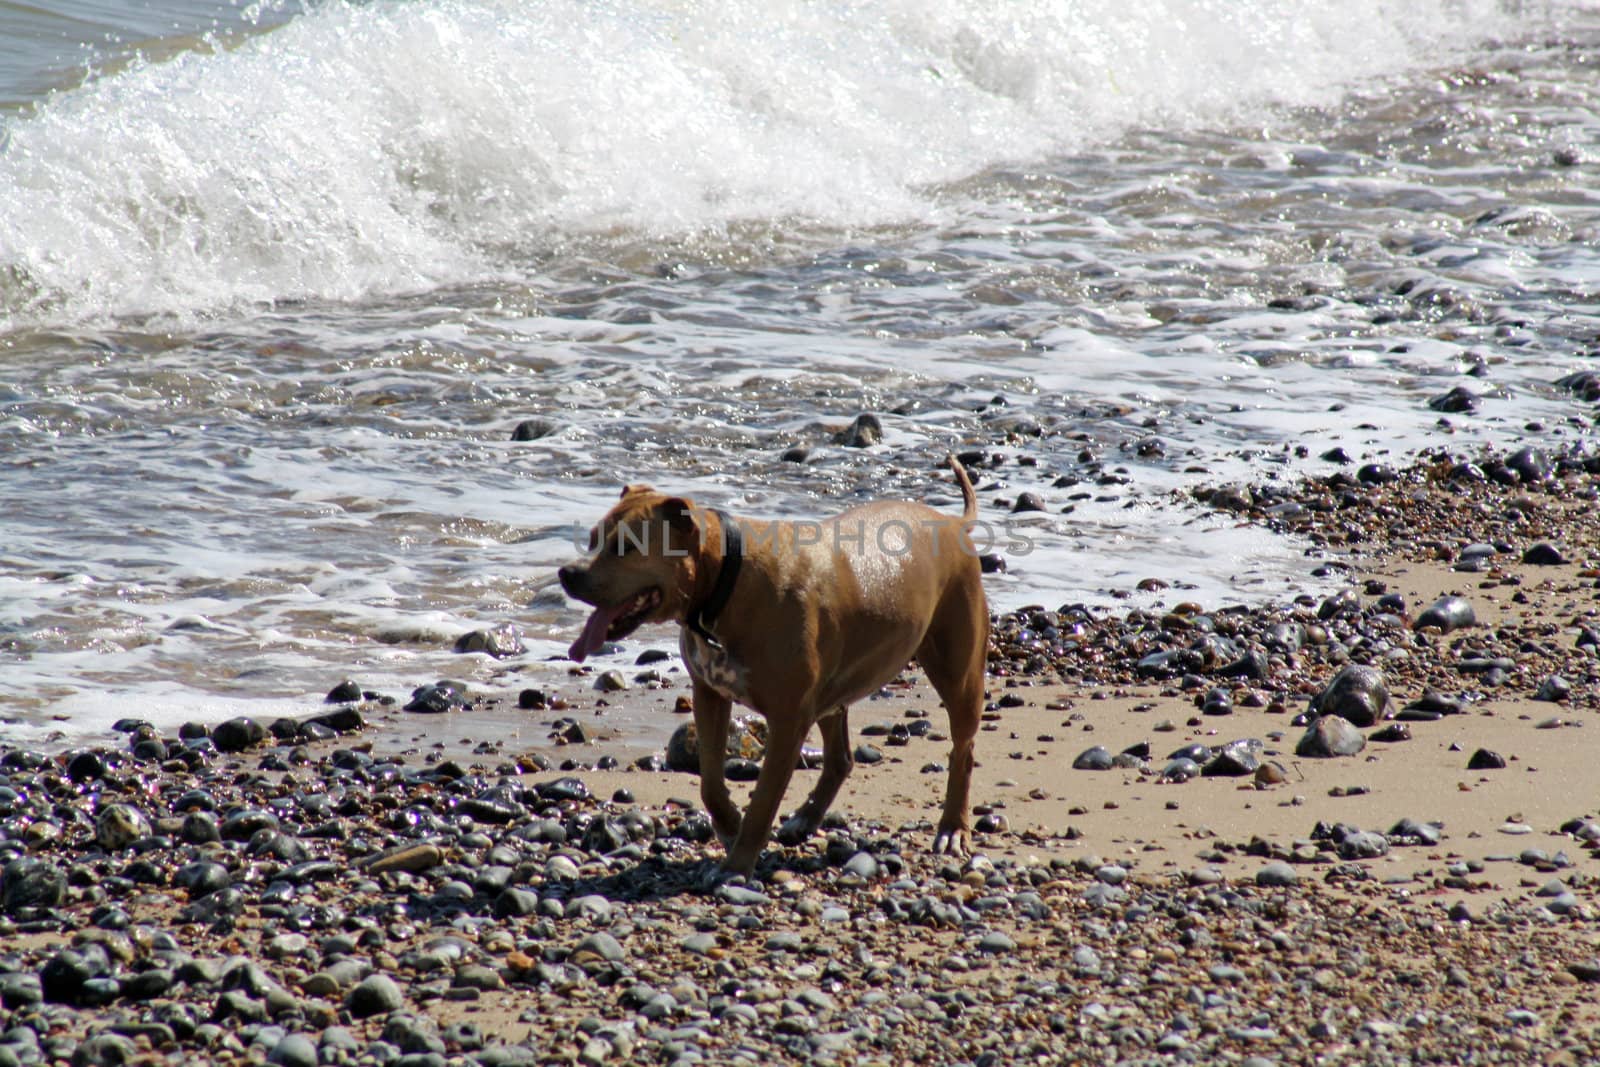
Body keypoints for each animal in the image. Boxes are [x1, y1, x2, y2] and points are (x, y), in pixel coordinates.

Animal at [563, 457, 985, 876]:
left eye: (625, 546)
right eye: (593, 538)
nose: (567, 573)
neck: (724, 581)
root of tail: (952, 523)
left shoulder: (788, 719)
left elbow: (764, 799)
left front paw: (737, 864)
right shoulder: (710, 695)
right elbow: (710, 783)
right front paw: (730, 825)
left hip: (959, 674)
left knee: (962, 752)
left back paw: (953, 828)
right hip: (832, 689)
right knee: (840, 758)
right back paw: (805, 819)